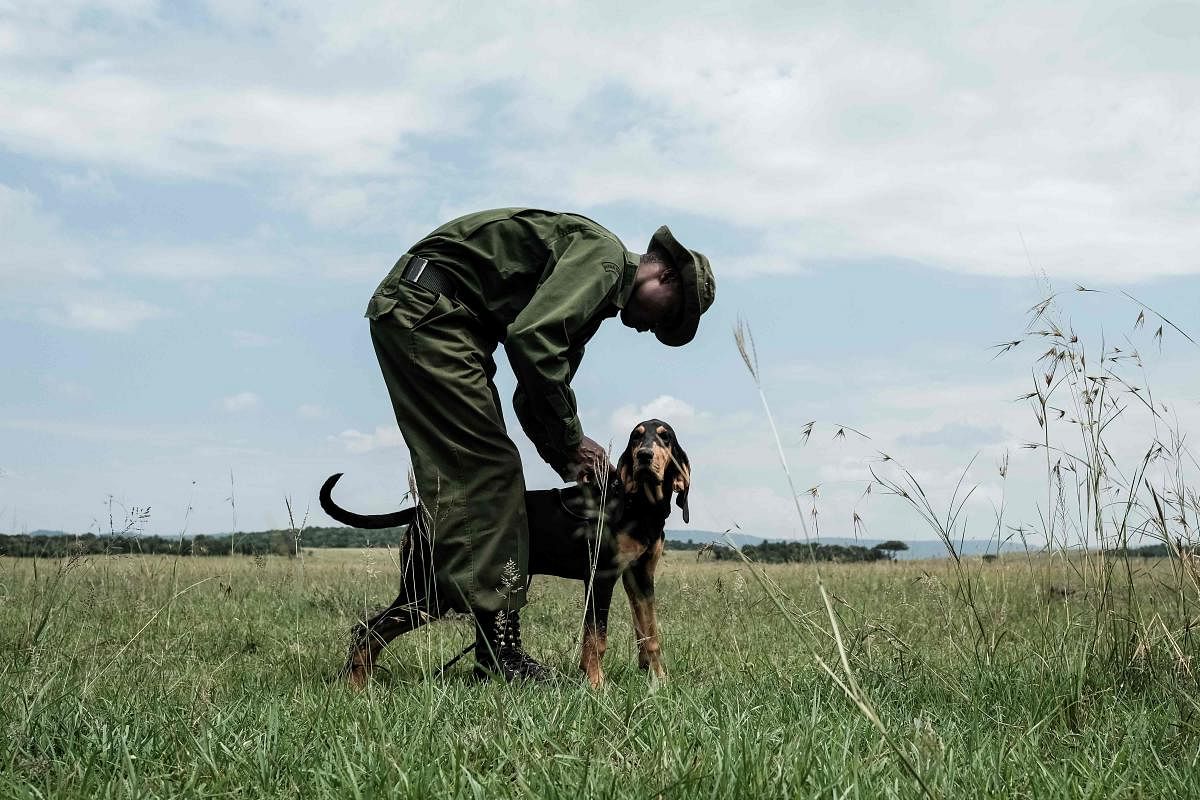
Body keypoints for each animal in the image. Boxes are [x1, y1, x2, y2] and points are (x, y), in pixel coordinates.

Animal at [319, 419, 696, 690]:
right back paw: (355, 683)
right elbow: (597, 638)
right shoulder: (601, 577)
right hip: (429, 593)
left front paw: (659, 681)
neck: (639, 506)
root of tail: (421, 512)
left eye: (664, 438)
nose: (644, 456)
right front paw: (595, 685)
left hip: (426, 594)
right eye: (635, 438)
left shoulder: (640, 577)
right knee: (368, 629)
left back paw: (359, 678)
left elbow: (650, 634)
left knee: (370, 629)